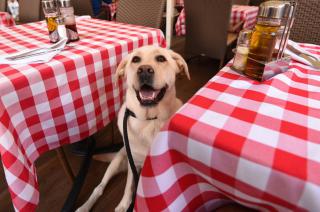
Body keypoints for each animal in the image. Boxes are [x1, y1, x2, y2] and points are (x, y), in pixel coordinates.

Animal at [76, 45, 189, 211]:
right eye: (135, 59)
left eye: (161, 58)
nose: (144, 70)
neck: (149, 120)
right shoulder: (133, 162)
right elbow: (129, 186)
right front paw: (124, 205)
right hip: (118, 160)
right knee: (99, 188)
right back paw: (84, 206)